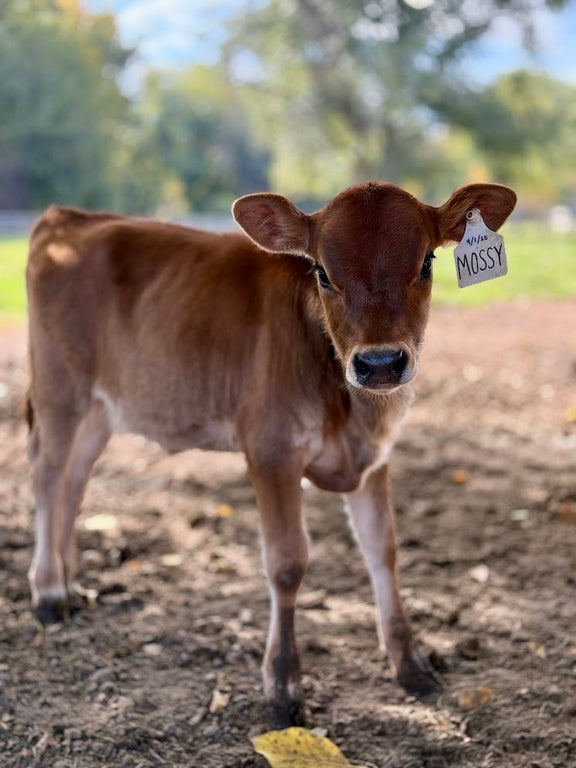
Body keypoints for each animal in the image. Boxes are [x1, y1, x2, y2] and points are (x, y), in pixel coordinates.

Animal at [25, 181, 516, 725]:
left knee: (74, 481)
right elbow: (287, 562)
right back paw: (48, 591)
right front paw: (282, 684)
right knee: (48, 477)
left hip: (101, 409)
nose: (380, 363)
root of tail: (67, 217)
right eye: (322, 271)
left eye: (427, 261)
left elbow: (382, 550)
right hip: (59, 390)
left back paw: (70, 581)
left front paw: (409, 662)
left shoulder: (374, 458)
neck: (350, 409)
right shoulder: (271, 450)